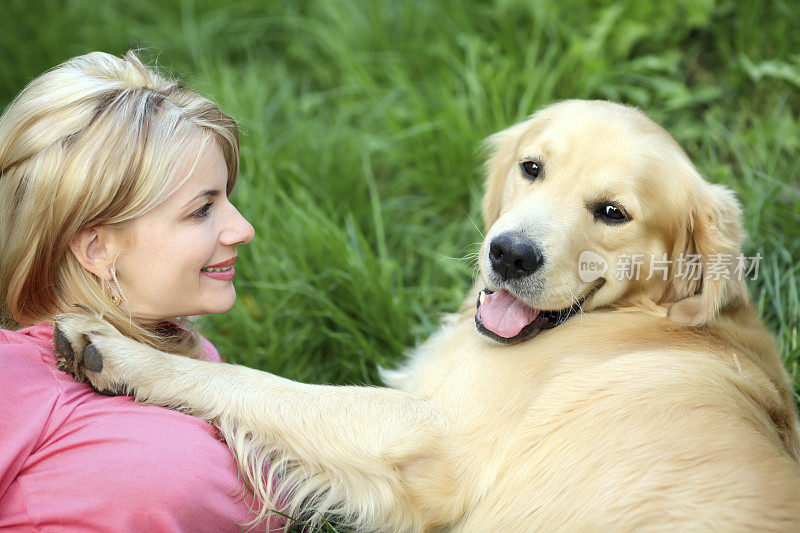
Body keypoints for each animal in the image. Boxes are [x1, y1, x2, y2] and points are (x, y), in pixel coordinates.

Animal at [54, 98, 800, 528]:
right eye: (532, 167)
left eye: (613, 212)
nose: (509, 254)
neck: (640, 317)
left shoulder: (434, 438)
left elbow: (250, 382)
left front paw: (122, 353)